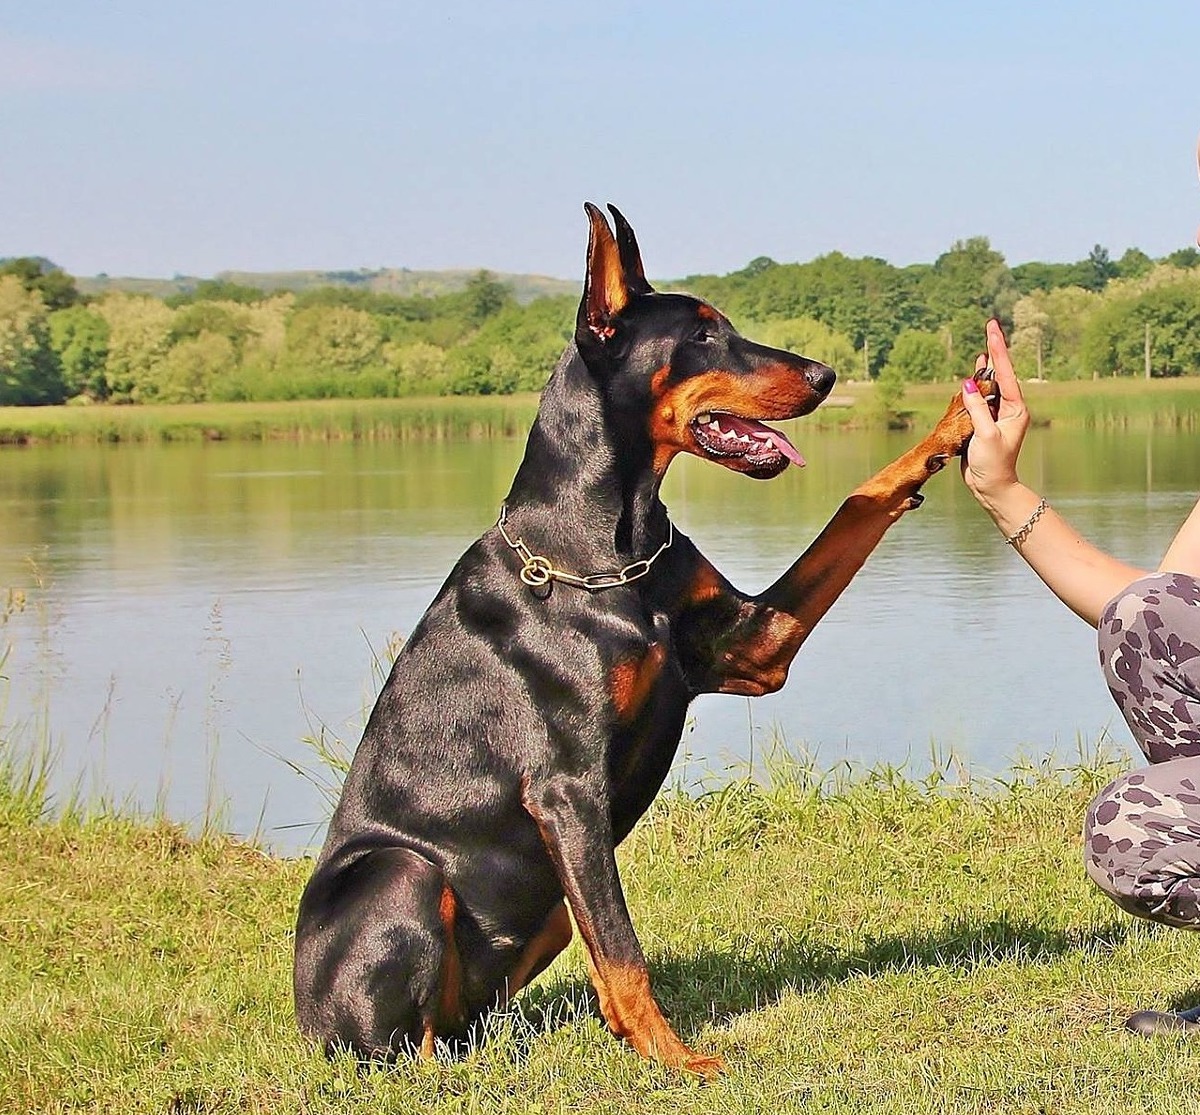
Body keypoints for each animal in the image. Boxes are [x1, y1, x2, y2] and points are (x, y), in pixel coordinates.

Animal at [290, 204, 993, 1075]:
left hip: (545, 910)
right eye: (702, 334)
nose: (826, 374)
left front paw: (961, 416)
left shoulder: (753, 647)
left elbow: (858, 502)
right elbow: (624, 948)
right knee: (402, 1049)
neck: (611, 551)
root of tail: (305, 1021)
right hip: (402, 873)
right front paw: (680, 1058)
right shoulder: (565, 790)